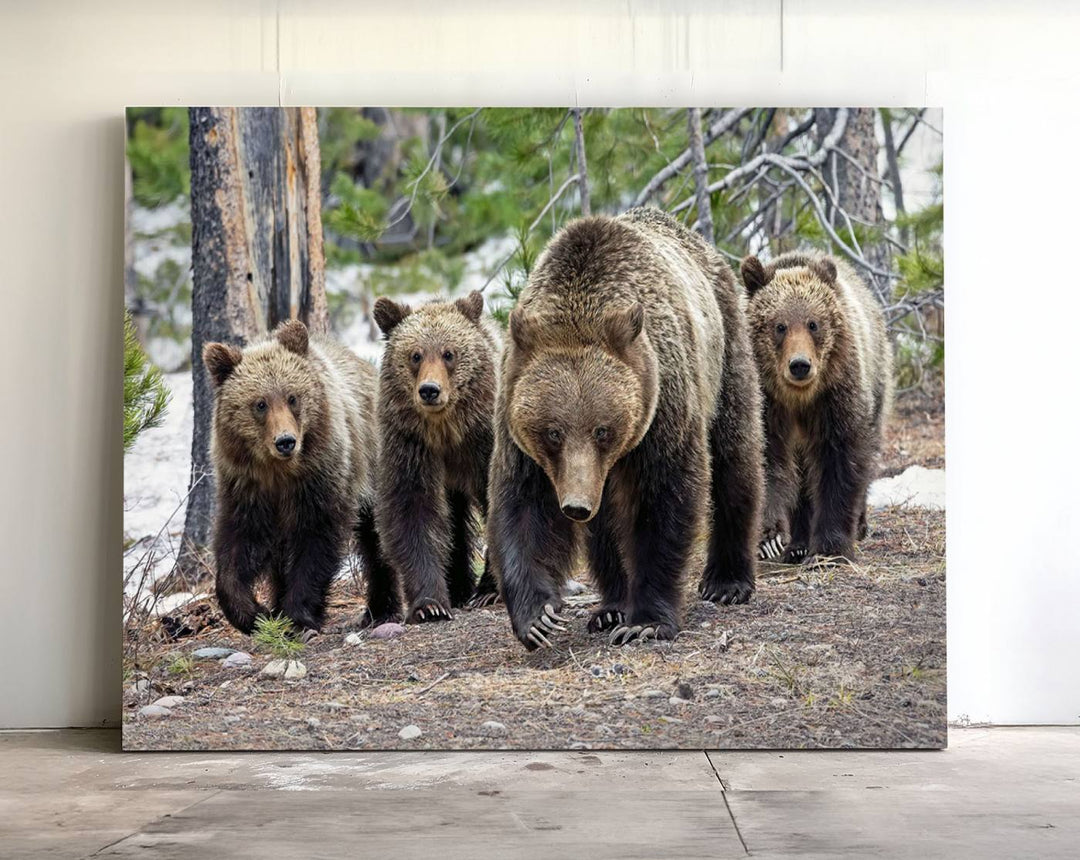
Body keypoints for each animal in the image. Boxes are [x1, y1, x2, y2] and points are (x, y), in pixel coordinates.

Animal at [201, 319, 397, 635]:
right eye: (260, 403)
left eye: (292, 397)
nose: (285, 441)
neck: (280, 472)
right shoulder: (246, 486)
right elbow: (239, 544)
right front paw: (255, 613)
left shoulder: (321, 476)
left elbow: (316, 539)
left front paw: (298, 616)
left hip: (373, 461)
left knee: (377, 536)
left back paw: (380, 608)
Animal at [371, 291, 501, 622]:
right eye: (415, 355)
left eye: (448, 353)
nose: (430, 390)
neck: (447, 430)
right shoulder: (410, 446)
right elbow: (412, 512)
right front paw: (430, 604)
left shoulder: (483, 442)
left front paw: (490, 590)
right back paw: (458, 588)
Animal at [486, 209, 764, 652]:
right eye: (553, 432)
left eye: (602, 429)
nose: (575, 505)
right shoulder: (517, 424)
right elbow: (523, 506)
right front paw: (538, 617)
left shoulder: (663, 403)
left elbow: (663, 499)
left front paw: (646, 621)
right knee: (604, 525)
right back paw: (611, 605)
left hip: (724, 353)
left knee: (734, 458)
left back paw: (727, 581)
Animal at [743, 250, 894, 566]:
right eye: (779, 326)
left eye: (813, 323)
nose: (800, 365)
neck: (799, 398)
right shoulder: (767, 405)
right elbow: (768, 461)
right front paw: (770, 538)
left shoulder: (835, 397)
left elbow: (839, 461)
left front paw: (830, 547)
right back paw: (798, 544)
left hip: (877, 381)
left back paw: (859, 525)